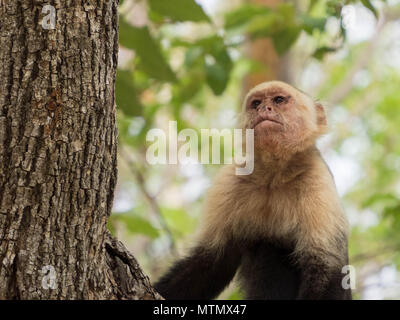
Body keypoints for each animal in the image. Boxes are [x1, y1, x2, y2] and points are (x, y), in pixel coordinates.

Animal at [155, 80, 352, 300]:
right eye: (256, 103)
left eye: (278, 100)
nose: (263, 108)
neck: (274, 176)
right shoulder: (229, 180)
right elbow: (212, 260)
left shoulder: (318, 181)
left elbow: (326, 269)